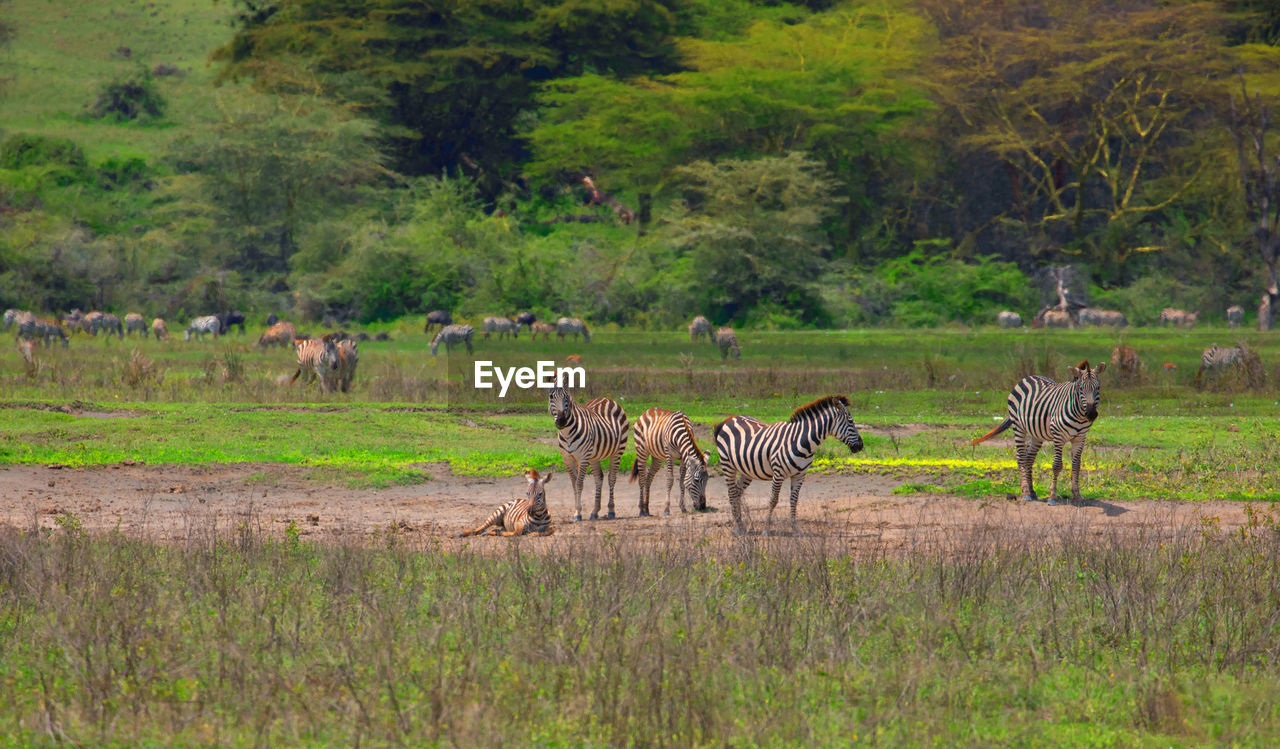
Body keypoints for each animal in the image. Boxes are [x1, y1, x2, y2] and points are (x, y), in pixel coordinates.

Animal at [550, 386, 629, 519]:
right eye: (551, 397)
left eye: (567, 397)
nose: (561, 421)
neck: (567, 433)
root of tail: (607, 399)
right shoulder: (567, 459)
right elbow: (574, 485)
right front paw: (576, 511)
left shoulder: (582, 458)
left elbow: (579, 484)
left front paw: (578, 513)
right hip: (593, 456)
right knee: (599, 477)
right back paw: (595, 511)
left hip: (617, 452)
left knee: (612, 478)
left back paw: (611, 510)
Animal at [716, 394, 865, 535]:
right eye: (851, 421)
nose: (861, 446)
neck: (803, 442)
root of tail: (730, 419)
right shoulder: (778, 473)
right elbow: (773, 500)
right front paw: (766, 529)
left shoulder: (800, 475)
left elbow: (794, 500)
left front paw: (794, 529)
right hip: (728, 465)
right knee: (732, 494)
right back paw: (738, 527)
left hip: (746, 470)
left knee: (738, 493)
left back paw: (740, 525)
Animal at [962, 358, 1105, 504]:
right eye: (1081, 388)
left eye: (1098, 388)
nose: (1091, 414)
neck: (1079, 415)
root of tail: (1028, 377)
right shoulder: (1058, 436)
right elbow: (1057, 465)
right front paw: (1052, 496)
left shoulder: (1080, 438)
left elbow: (1076, 465)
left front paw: (1077, 496)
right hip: (1018, 427)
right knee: (1020, 457)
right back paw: (1025, 492)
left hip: (1037, 434)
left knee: (1028, 458)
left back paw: (1032, 491)